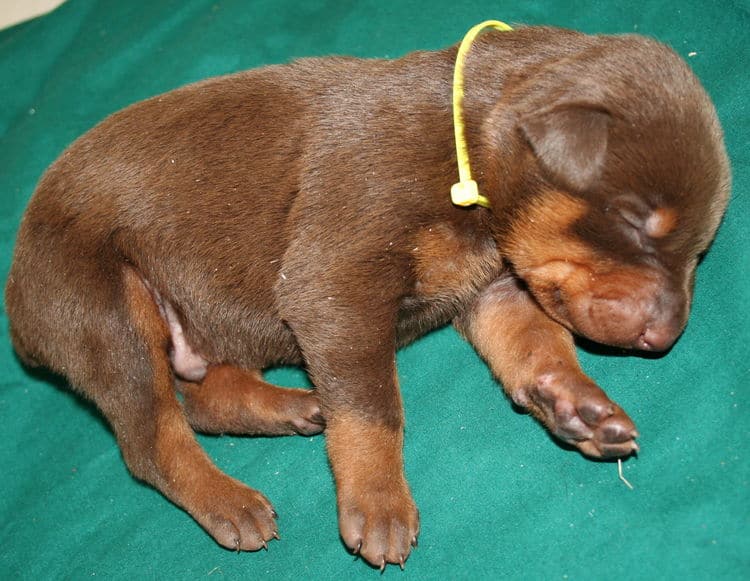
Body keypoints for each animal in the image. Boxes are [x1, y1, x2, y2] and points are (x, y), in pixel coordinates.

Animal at [5, 26, 732, 568]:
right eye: (637, 219)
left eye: (700, 248)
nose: (664, 338)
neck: (463, 149)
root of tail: (18, 308)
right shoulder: (336, 280)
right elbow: (372, 406)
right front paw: (380, 503)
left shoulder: (495, 288)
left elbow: (536, 347)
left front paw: (578, 406)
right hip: (104, 305)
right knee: (151, 436)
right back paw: (230, 501)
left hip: (202, 320)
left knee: (206, 398)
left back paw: (296, 407)